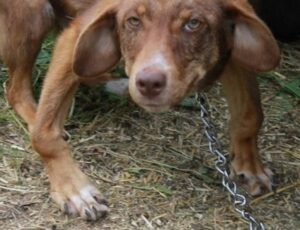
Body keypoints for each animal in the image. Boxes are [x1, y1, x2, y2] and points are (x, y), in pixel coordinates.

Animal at [1, 0, 280, 221]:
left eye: (193, 23)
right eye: (133, 21)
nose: (148, 83)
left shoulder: (236, 49)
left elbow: (251, 115)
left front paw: (250, 166)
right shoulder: (76, 34)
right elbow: (44, 136)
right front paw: (75, 190)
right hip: (34, 14)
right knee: (15, 90)